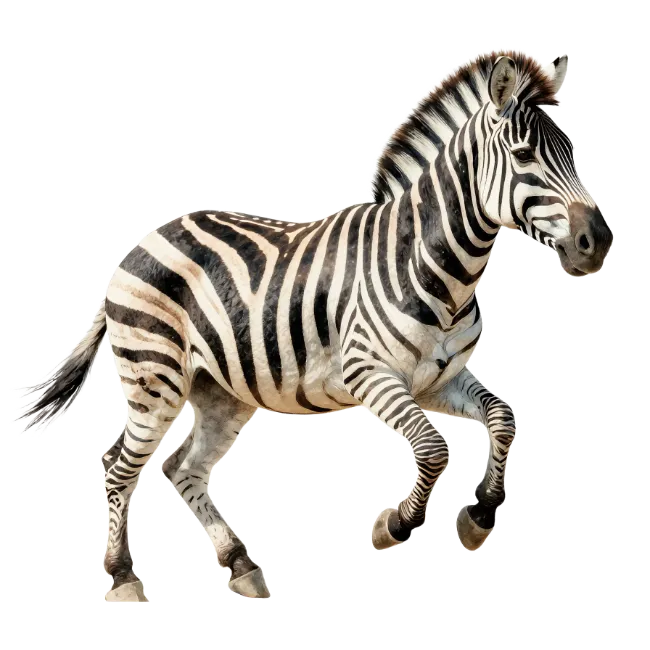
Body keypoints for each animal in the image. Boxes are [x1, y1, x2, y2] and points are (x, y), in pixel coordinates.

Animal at [15, 50, 613, 602]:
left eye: (573, 154)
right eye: (525, 156)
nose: (598, 243)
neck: (431, 261)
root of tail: (141, 243)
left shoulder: (439, 379)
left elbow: (504, 419)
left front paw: (479, 516)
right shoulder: (368, 372)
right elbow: (432, 448)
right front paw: (394, 525)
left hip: (222, 389)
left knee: (182, 468)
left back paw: (241, 566)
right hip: (154, 378)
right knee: (119, 465)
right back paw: (123, 579)